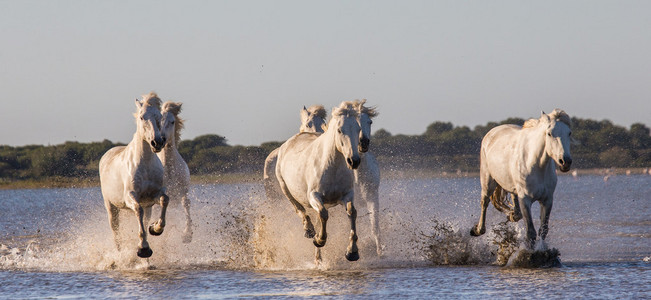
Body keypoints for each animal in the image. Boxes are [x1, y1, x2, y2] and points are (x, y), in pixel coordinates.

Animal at [99, 93, 169, 258]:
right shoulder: (130, 196)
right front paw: (143, 248)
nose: (157, 142)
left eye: (159, 116)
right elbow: (138, 210)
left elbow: (165, 200)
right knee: (116, 232)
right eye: (142, 117)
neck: (146, 163)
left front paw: (156, 228)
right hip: (111, 207)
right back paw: (119, 254)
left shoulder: (153, 196)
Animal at [276, 100, 364, 260]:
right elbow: (323, 214)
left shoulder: (347, 194)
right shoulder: (314, 196)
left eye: (358, 129)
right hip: (285, 188)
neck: (331, 166)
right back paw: (309, 230)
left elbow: (352, 212)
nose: (354, 161)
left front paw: (352, 251)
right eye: (340, 130)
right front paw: (319, 239)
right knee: (299, 209)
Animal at [472, 109, 572, 250]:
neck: (536, 165)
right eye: (549, 133)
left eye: (569, 133)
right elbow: (531, 232)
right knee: (484, 203)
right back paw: (478, 229)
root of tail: (491, 133)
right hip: (487, 182)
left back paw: (512, 215)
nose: (565, 162)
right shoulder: (525, 199)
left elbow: (543, 230)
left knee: (515, 206)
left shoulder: (547, 200)